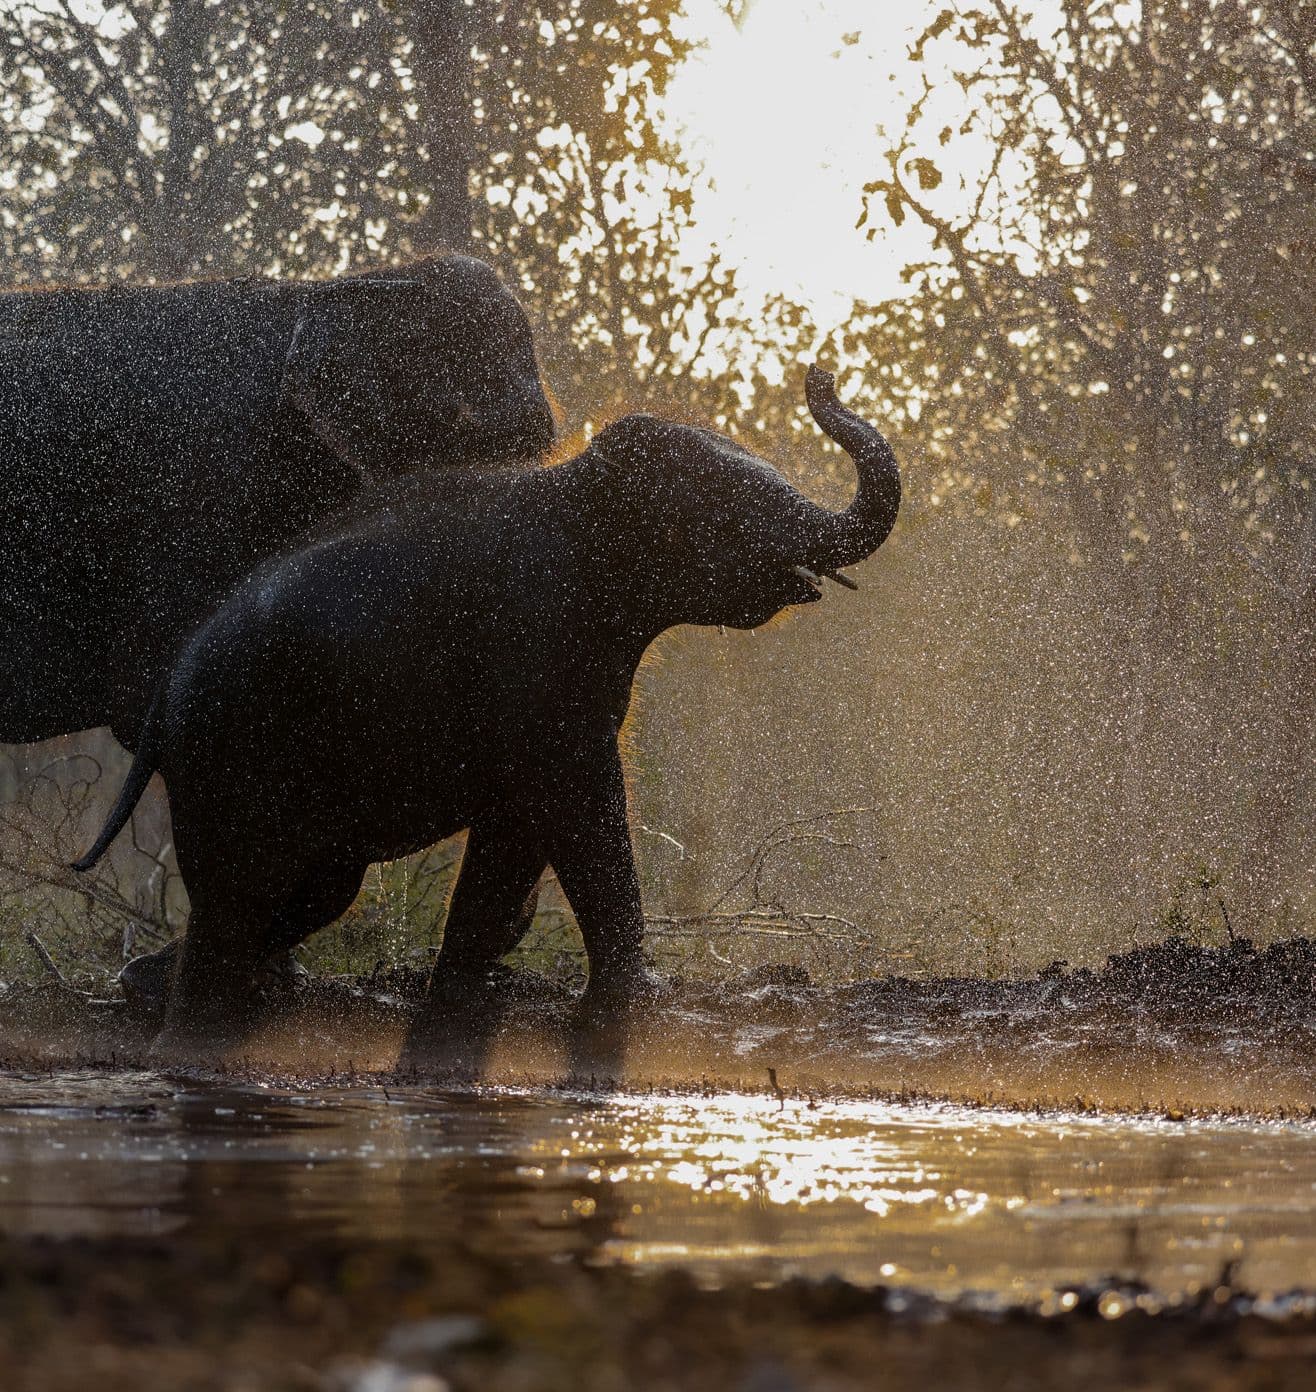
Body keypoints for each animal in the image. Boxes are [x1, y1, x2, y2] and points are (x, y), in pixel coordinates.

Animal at [72, 366, 900, 1057]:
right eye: (736, 506)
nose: (818, 374)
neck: (578, 489)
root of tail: (165, 699)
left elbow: (517, 830)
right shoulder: (538, 652)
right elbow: (580, 806)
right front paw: (626, 1008)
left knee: (307, 891)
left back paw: (169, 992)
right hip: (234, 754)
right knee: (243, 894)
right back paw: (188, 1043)